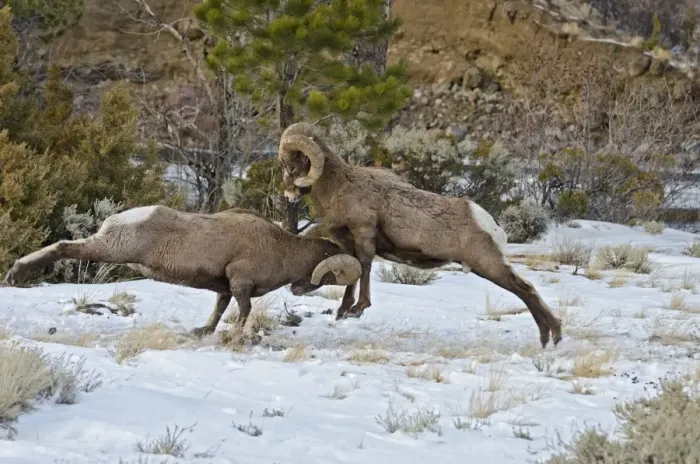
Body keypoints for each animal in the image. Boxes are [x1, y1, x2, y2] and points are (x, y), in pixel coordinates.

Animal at [4, 206, 362, 339]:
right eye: (330, 276)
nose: (298, 290)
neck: (282, 249)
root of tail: (120, 219)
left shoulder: (226, 287)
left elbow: (219, 310)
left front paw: (203, 331)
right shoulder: (241, 283)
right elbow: (243, 311)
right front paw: (235, 336)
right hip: (111, 249)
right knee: (63, 246)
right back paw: (15, 275)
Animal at [277, 122, 562, 348]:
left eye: (291, 167)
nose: (288, 195)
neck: (338, 187)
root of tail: (486, 222)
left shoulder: (363, 234)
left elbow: (364, 268)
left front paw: (357, 310)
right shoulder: (347, 243)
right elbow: (353, 273)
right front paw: (343, 311)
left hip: (488, 265)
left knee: (525, 290)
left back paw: (552, 336)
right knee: (526, 290)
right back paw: (549, 338)